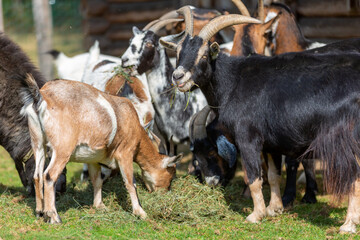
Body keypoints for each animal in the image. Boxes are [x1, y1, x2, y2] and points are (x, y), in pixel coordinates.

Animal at [21, 75, 181, 223]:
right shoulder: (125, 153)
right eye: (171, 174)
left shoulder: (92, 159)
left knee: (37, 175)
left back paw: (40, 212)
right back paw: (53, 217)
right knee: (49, 175)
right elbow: (130, 182)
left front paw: (99, 206)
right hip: (62, 148)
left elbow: (97, 180)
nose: (163, 193)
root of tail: (42, 97)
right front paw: (140, 213)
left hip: (38, 143)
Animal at [162, 12, 360, 233]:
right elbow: (273, 175)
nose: (178, 77)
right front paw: (275, 209)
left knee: (354, 177)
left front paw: (256, 215)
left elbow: (254, 177)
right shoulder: (271, 142)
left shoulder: (248, 138)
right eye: (178, 51)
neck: (233, 82)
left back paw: (348, 225)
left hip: (344, 139)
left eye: (204, 55)